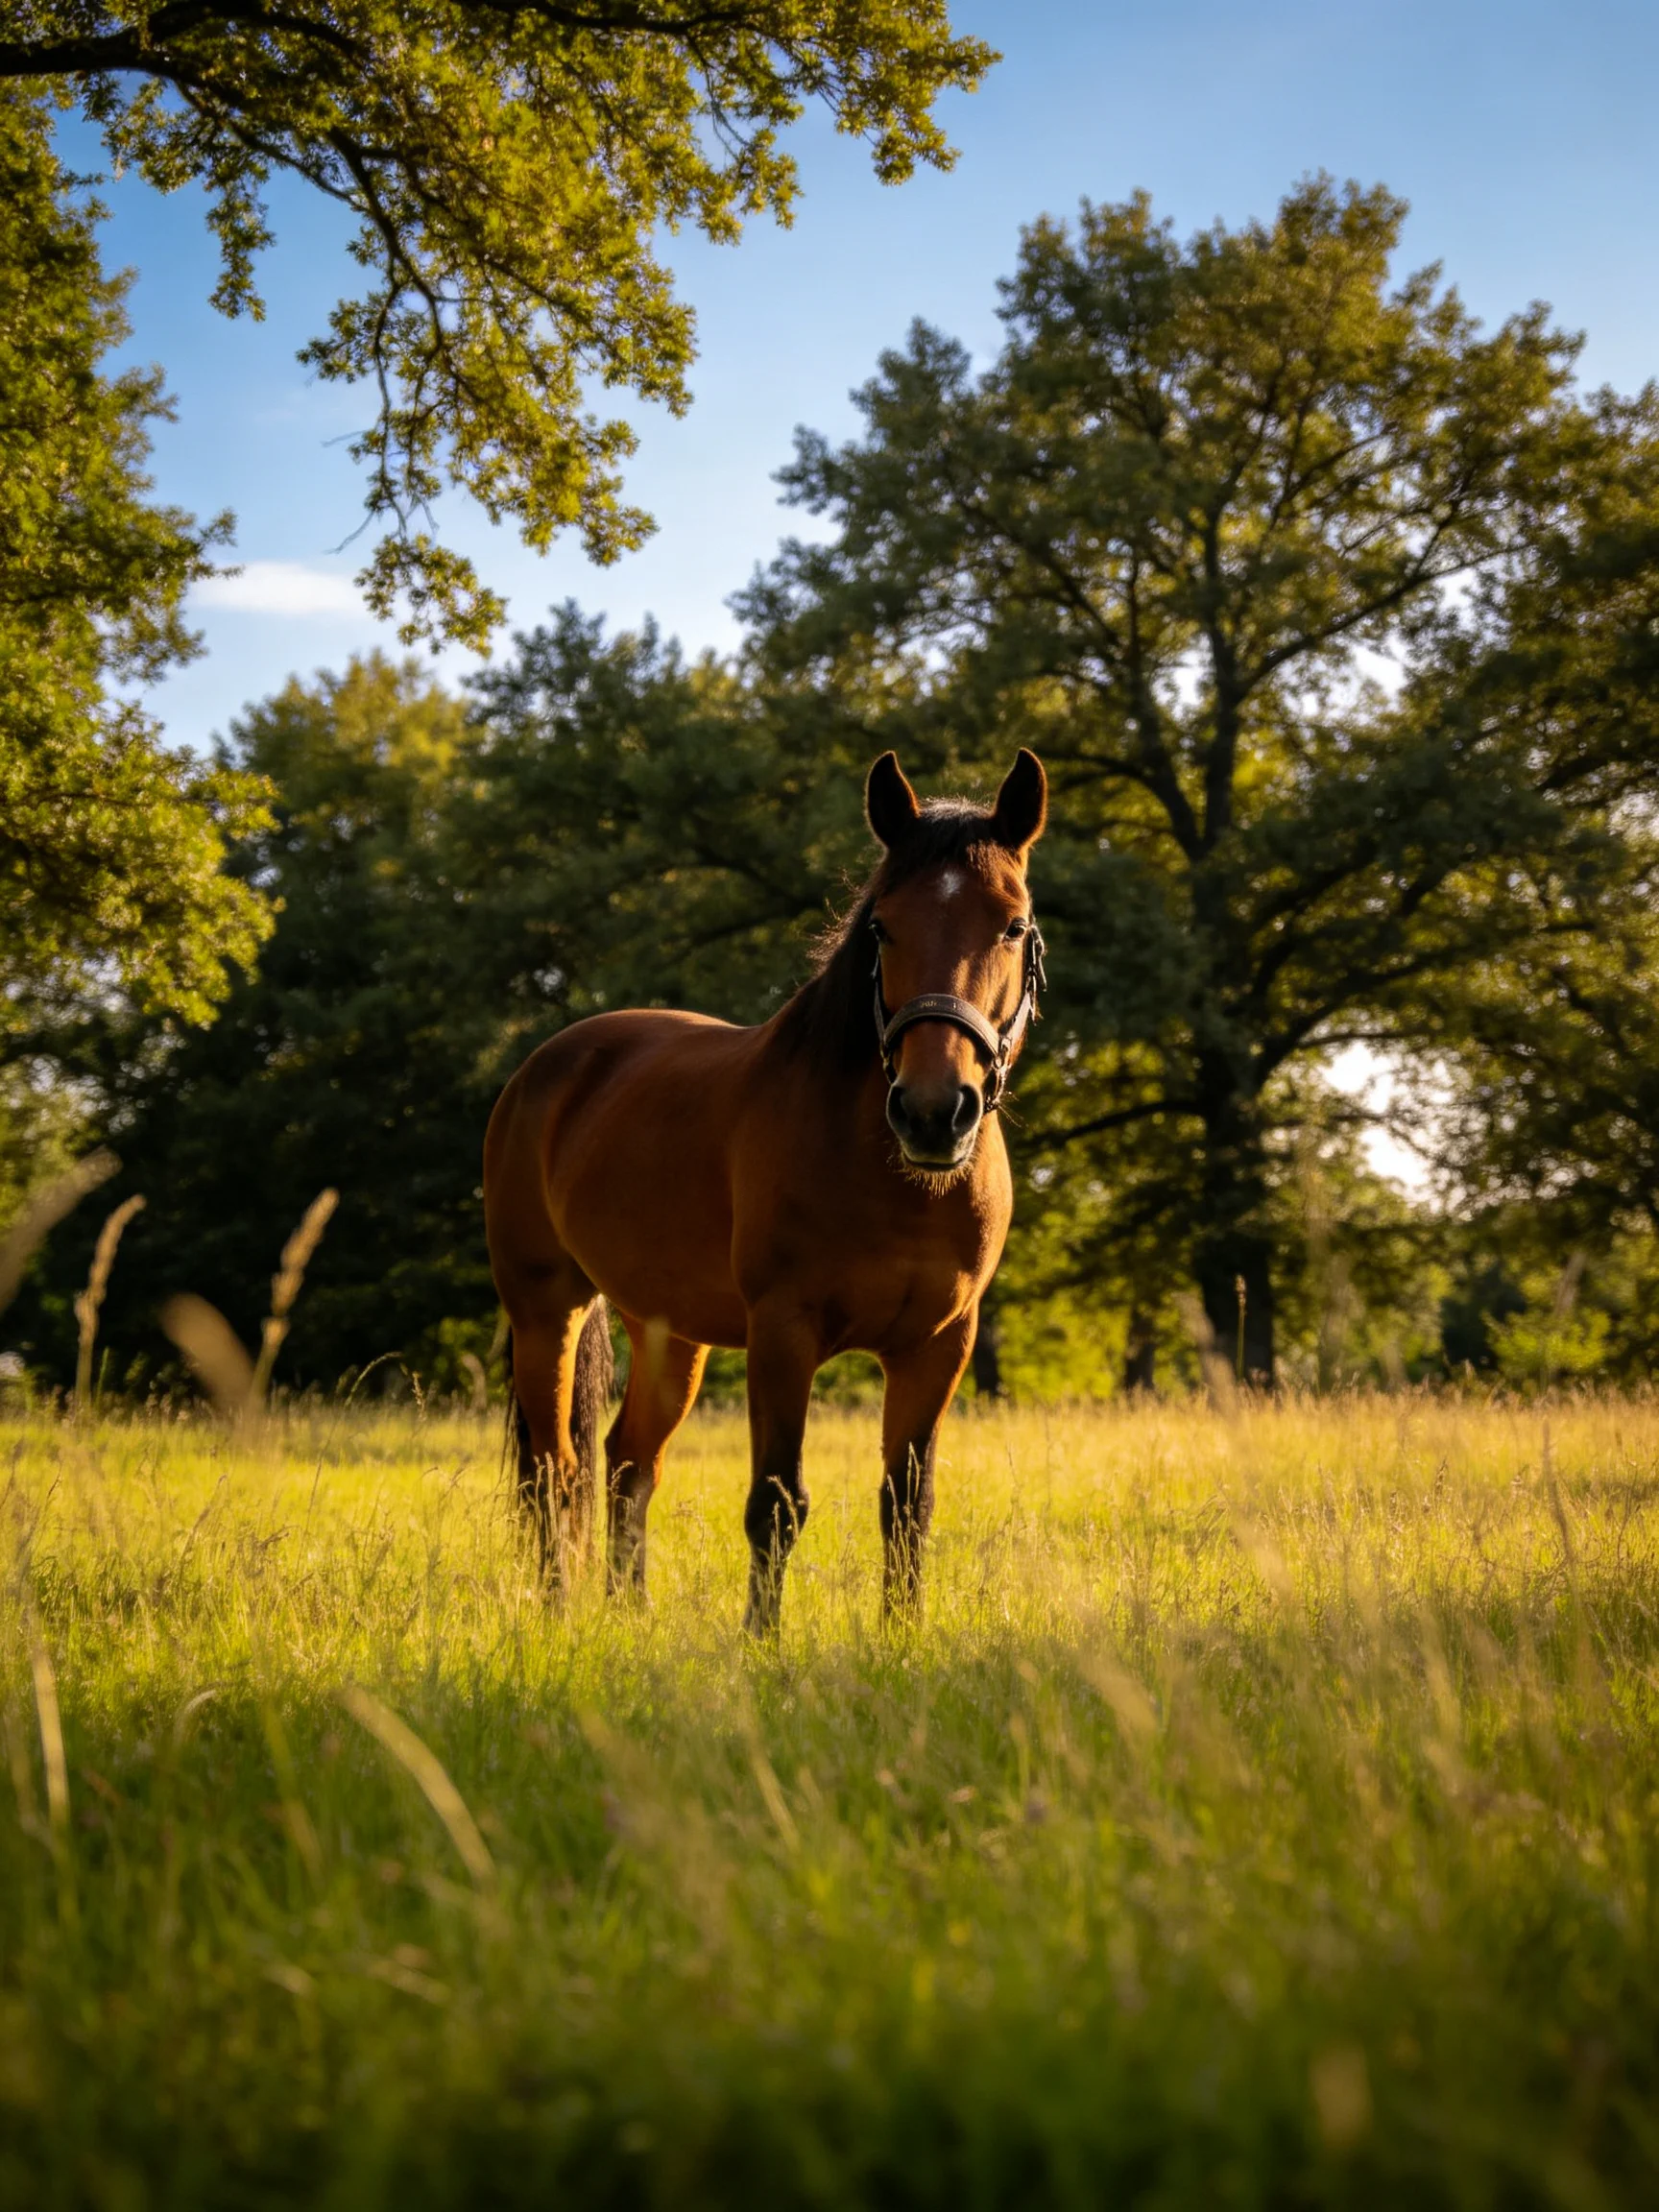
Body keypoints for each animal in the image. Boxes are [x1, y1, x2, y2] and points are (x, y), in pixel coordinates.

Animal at [483, 746, 1048, 1633]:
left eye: (1013, 925)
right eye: (882, 926)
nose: (933, 1112)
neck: (896, 1181)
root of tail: (546, 1065)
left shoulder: (939, 1346)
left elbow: (906, 1503)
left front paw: (902, 1637)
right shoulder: (784, 1334)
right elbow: (778, 1504)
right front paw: (762, 1641)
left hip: (668, 1334)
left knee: (627, 1463)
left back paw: (629, 1613)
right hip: (547, 1312)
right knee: (554, 1471)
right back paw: (556, 1614)